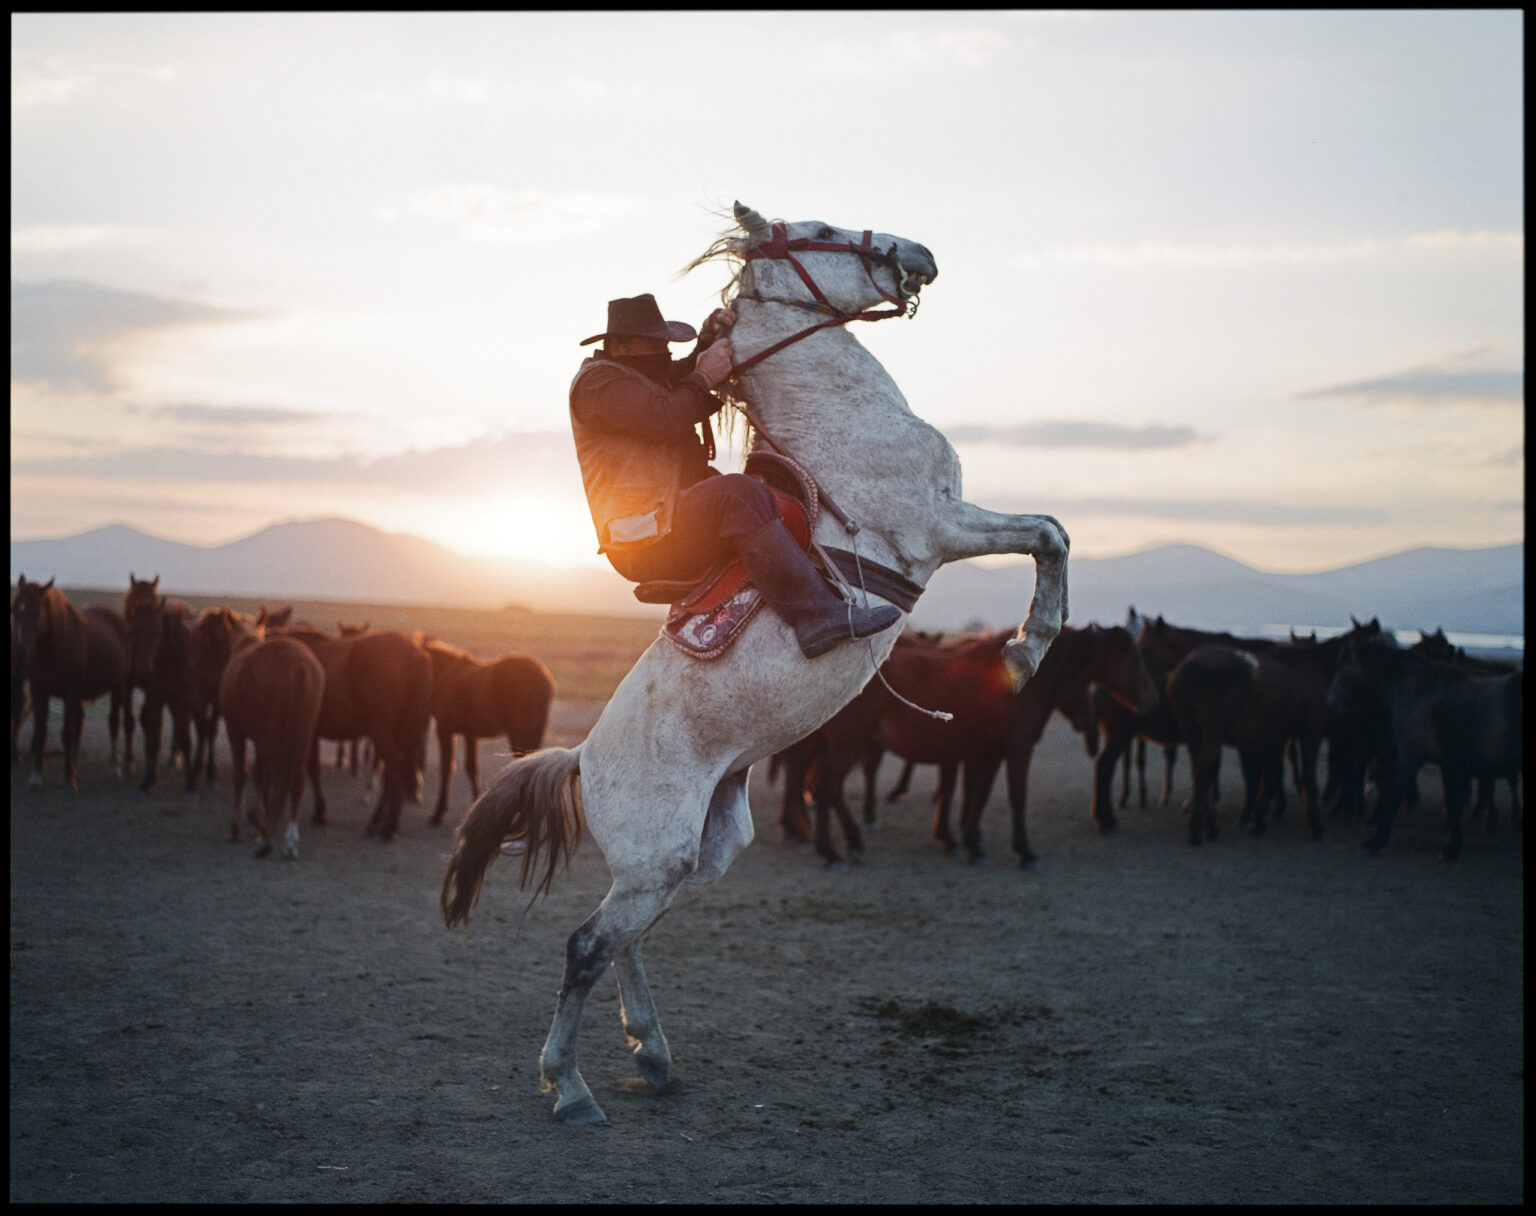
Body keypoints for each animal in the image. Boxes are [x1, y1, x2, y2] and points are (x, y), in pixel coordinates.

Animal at [11, 577, 130, 792]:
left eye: (36, 611)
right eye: (14, 609)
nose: (19, 652)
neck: (52, 651)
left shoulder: (70, 693)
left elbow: (67, 733)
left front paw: (68, 779)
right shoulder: (40, 692)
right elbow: (40, 733)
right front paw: (35, 777)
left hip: (118, 687)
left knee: (113, 724)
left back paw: (114, 768)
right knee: (80, 722)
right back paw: (75, 763)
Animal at [221, 635, 325, 853]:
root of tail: (299, 665)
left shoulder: (235, 729)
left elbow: (242, 775)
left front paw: (237, 827)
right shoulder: (260, 739)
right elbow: (260, 775)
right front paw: (257, 816)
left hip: (272, 734)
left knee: (280, 775)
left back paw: (267, 835)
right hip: (303, 732)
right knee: (296, 777)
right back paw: (289, 837)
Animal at [274, 623, 430, 841]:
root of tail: (414, 653)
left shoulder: (308, 732)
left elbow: (311, 768)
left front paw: (320, 812)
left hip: (382, 731)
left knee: (394, 771)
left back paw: (388, 826)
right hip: (403, 733)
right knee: (393, 773)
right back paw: (378, 821)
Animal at [423, 635, 556, 829]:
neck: (447, 676)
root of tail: (543, 676)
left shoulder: (445, 730)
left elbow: (447, 768)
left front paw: (438, 813)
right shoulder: (470, 734)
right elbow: (471, 767)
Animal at [445, 204, 1069, 1123]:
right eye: (820, 229)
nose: (918, 254)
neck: (842, 429)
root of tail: (582, 757)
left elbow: (1051, 531)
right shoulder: (939, 528)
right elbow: (1049, 535)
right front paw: (1026, 648)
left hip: (695, 855)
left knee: (627, 939)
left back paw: (653, 1051)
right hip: (659, 857)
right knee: (587, 944)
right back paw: (571, 1087)